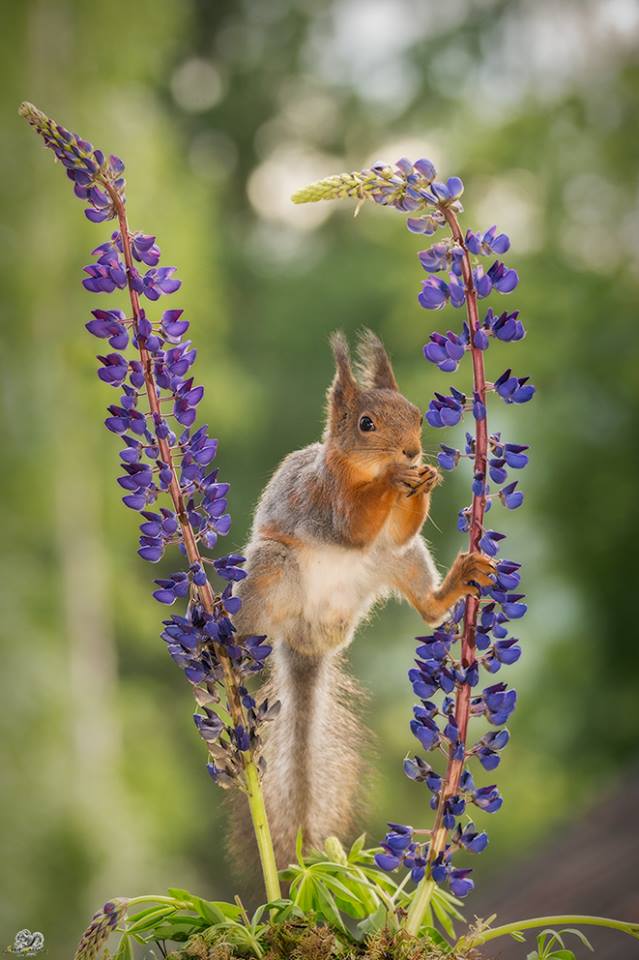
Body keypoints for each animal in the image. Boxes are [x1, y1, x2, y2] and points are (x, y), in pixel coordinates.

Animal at [235, 332, 496, 872]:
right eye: (366, 424)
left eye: (418, 414)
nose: (412, 452)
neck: (359, 468)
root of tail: (309, 639)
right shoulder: (326, 499)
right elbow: (353, 526)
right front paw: (395, 480)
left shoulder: (396, 536)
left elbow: (399, 528)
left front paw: (425, 478)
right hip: (274, 568)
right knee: (247, 626)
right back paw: (221, 641)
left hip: (398, 561)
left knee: (426, 603)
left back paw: (456, 582)